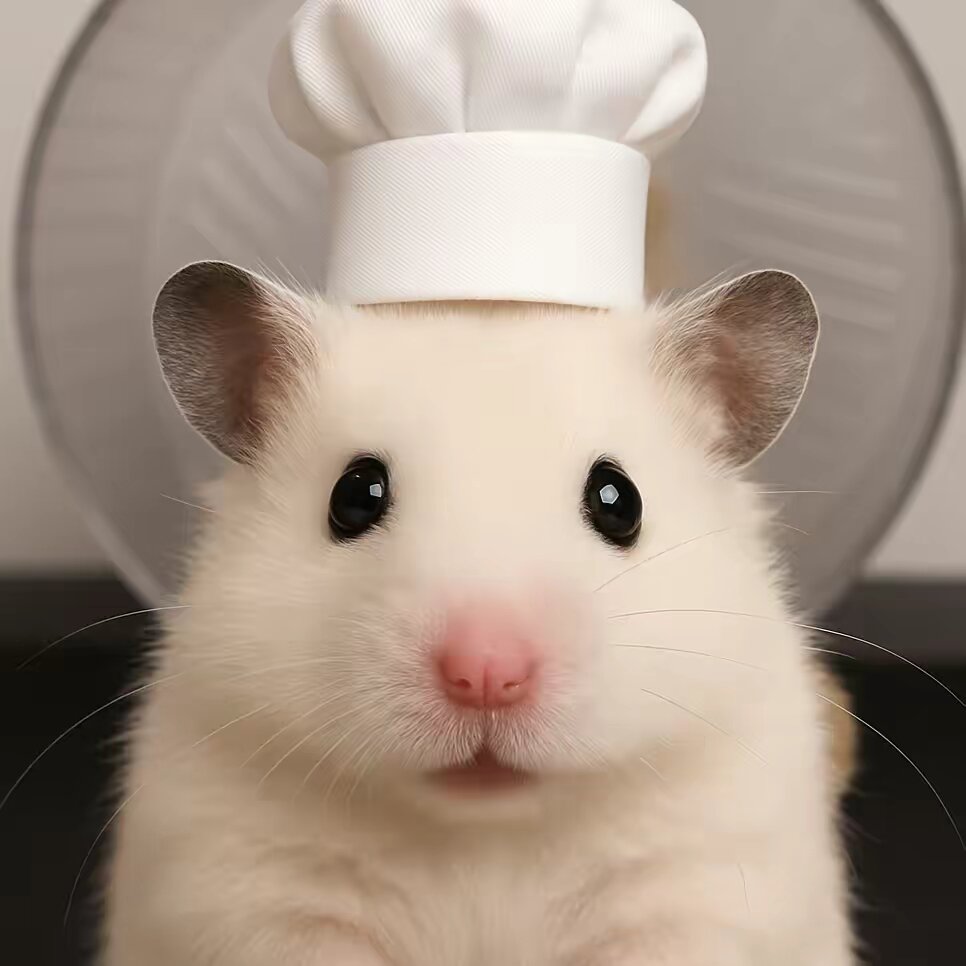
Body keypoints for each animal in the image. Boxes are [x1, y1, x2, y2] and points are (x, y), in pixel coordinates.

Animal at [102, 263, 855, 965]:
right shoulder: (260, 890)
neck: (486, 830)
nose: (486, 674)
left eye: (619, 501)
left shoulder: (693, 888)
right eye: (355, 495)